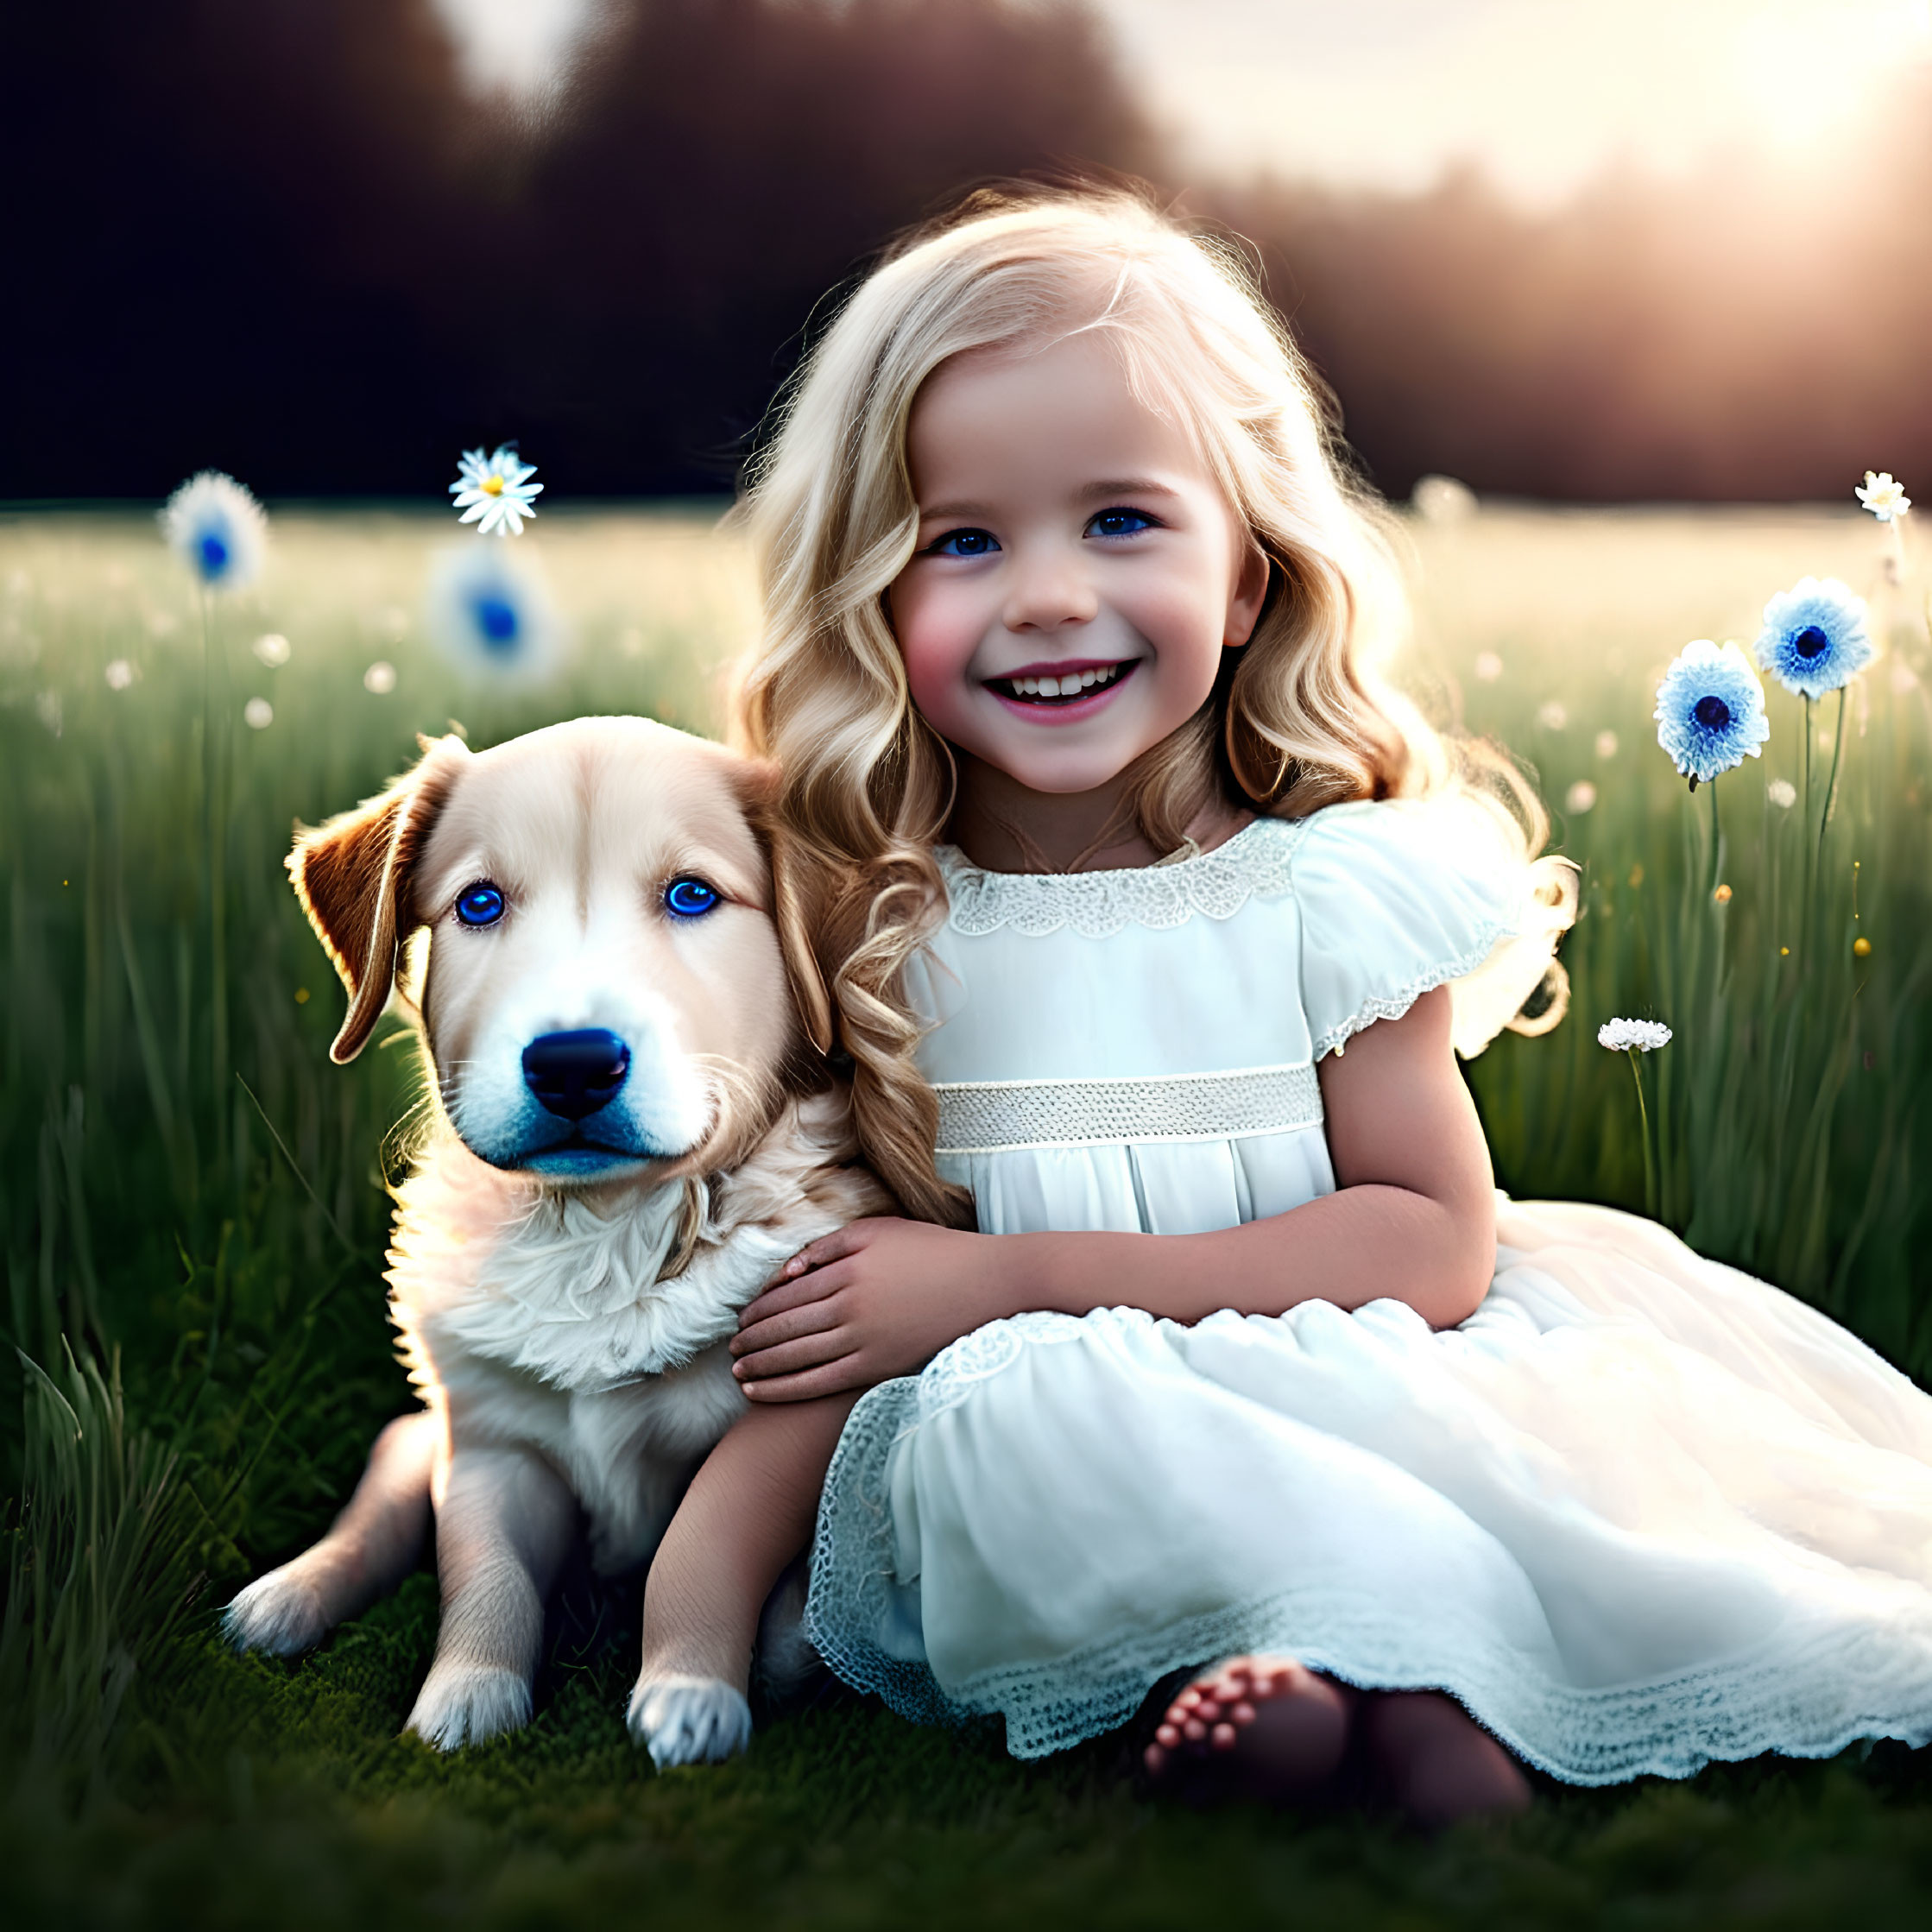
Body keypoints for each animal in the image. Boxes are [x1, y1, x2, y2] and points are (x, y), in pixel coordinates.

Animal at [222, 718, 885, 1762]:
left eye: (692, 895)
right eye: (479, 904)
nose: (573, 1063)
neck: (601, 1231)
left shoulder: (784, 1417)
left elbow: (710, 1550)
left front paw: (694, 1689)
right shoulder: (493, 1441)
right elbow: (483, 1573)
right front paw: (465, 1695)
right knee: (392, 1469)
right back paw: (288, 1594)